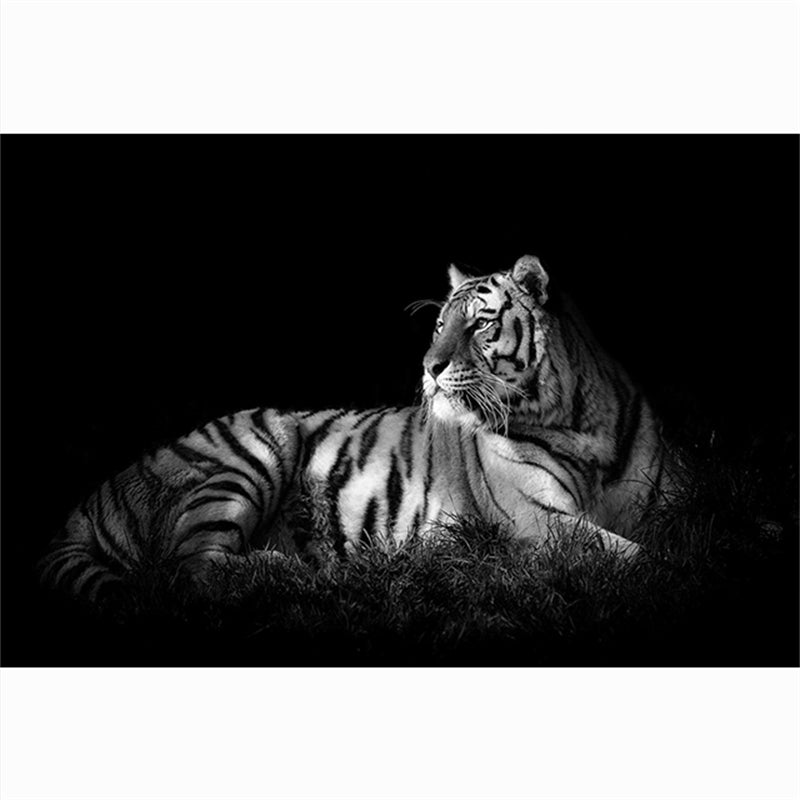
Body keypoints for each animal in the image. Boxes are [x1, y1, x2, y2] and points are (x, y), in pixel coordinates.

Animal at [39, 255, 670, 604]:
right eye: (439, 324)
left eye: (480, 324)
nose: (429, 367)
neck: (580, 422)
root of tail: (94, 497)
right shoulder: (537, 518)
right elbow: (632, 557)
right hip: (250, 451)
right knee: (184, 571)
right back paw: (296, 573)